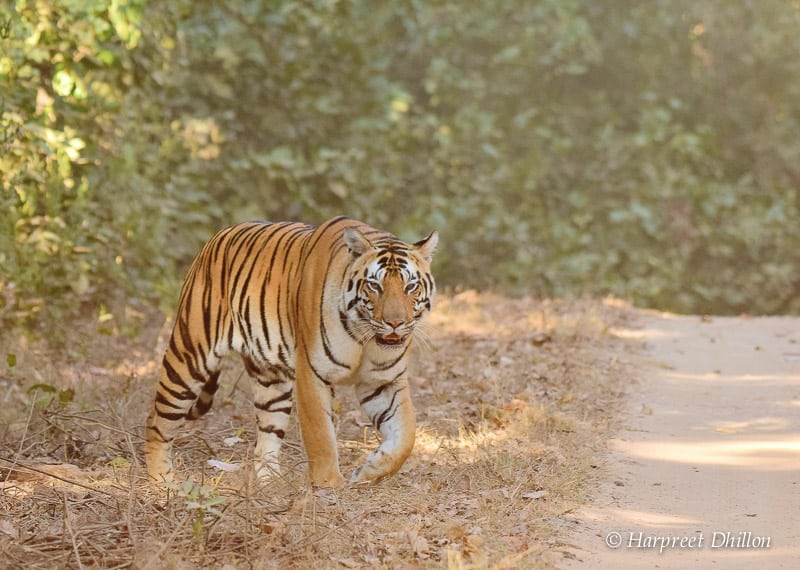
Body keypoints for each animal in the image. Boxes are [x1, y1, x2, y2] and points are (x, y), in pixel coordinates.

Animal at [144, 215, 438, 486]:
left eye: (410, 286)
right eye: (375, 286)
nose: (395, 323)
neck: (364, 338)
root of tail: (216, 237)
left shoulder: (384, 381)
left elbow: (406, 436)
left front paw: (368, 472)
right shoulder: (312, 374)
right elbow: (320, 435)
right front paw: (330, 484)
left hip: (270, 381)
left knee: (265, 439)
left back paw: (270, 483)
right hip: (189, 357)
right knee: (157, 421)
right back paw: (162, 481)